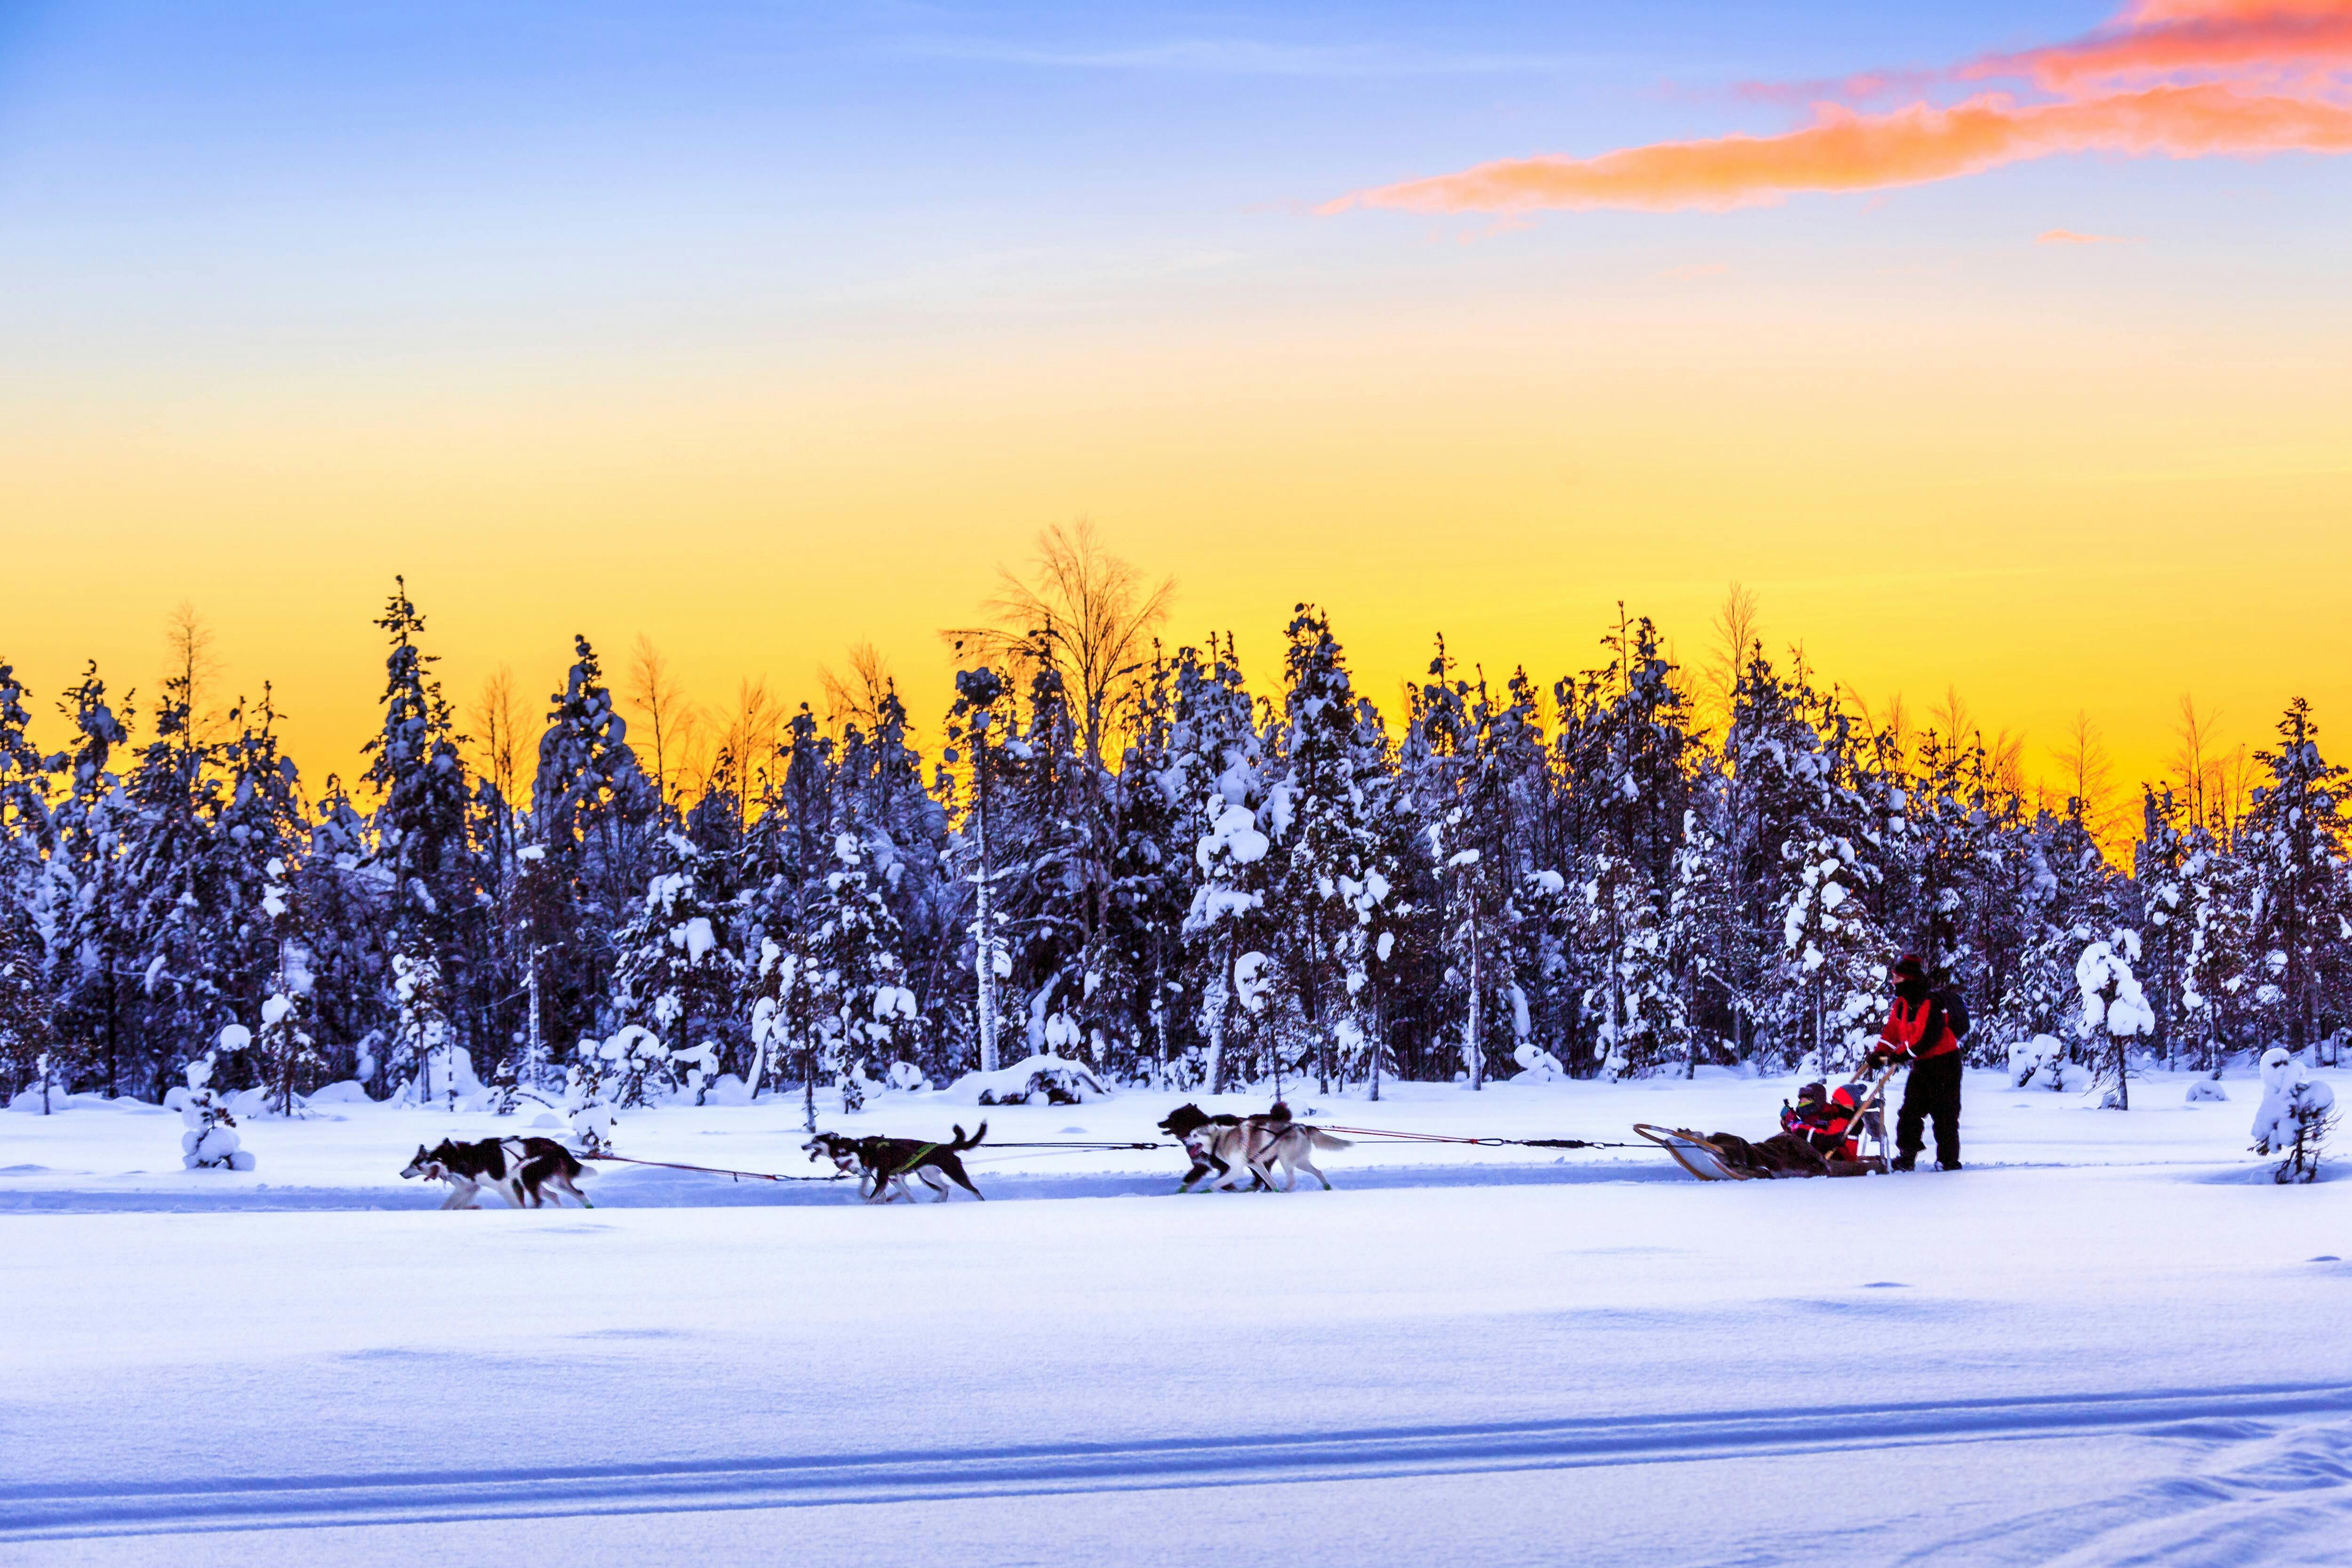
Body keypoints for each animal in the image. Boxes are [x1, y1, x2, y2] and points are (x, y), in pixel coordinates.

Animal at [402, 1133, 593, 1213]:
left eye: (432, 1158)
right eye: (424, 1159)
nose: (402, 1173)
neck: (469, 1159)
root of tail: (556, 1145)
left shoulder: (505, 1187)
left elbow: (518, 1205)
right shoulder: (470, 1188)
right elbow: (452, 1206)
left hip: (526, 1176)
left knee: (541, 1200)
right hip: (550, 1180)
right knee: (574, 1193)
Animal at [804, 1114, 988, 1204]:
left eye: (844, 1152)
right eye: (837, 1153)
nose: (803, 1146)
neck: (868, 1152)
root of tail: (945, 1146)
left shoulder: (883, 1180)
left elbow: (871, 1199)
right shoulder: (891, 1179)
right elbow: (904, 1196)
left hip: (954, 1173)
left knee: (974, 1190)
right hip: (927, 1176)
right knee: (945, 1188)